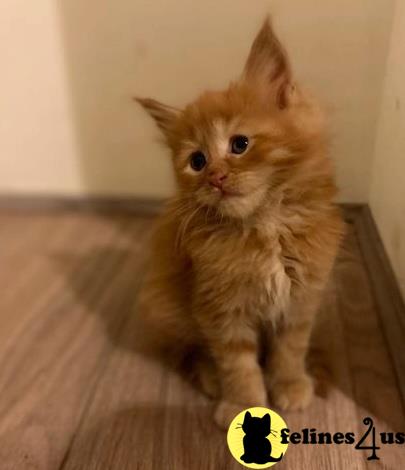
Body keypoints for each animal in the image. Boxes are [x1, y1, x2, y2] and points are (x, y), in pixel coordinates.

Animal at [137, 19, 344, 430]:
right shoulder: (220, 309)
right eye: (197, 161)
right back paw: (211, 377)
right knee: (194, 349)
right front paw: (243, 403)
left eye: (240, 144)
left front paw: (290, 384)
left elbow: (290, 349)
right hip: (167, 303)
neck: (264, 227)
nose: (216, 178)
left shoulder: (301, 300)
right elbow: (237, 363)